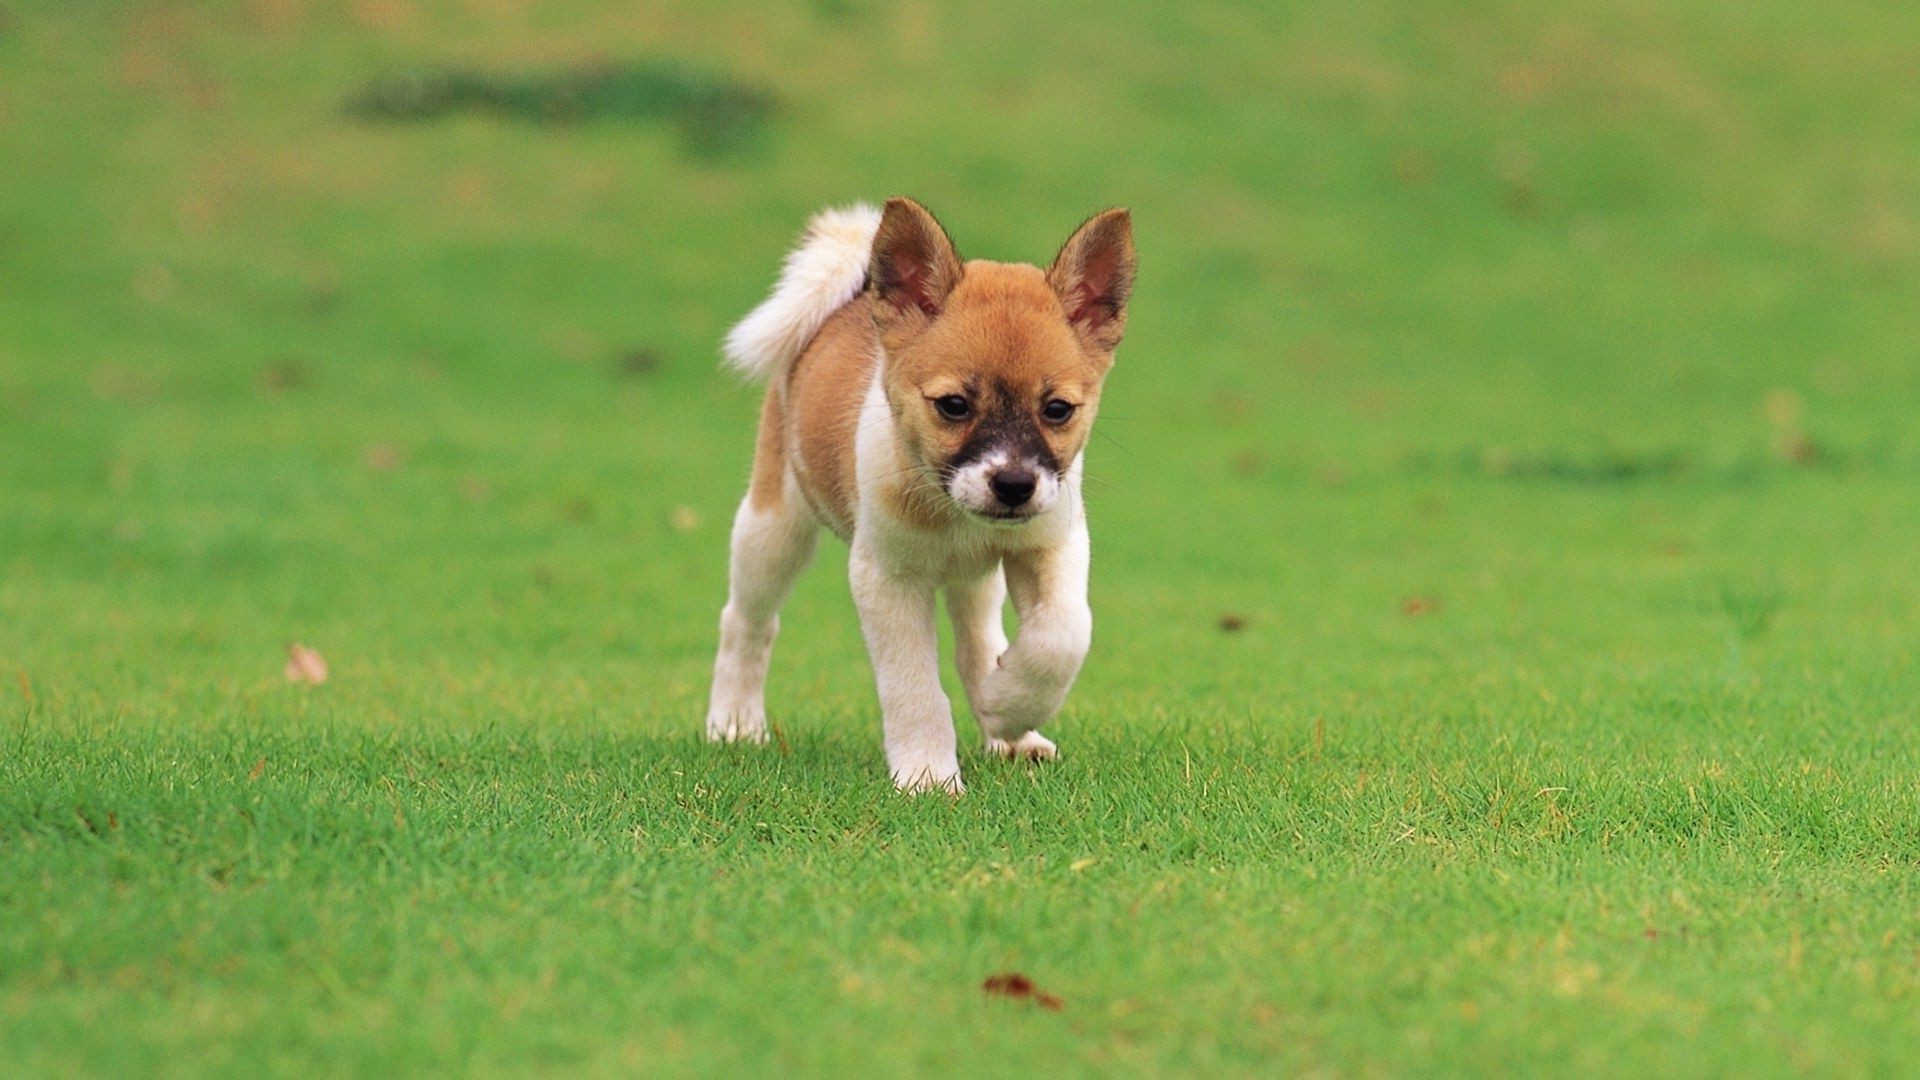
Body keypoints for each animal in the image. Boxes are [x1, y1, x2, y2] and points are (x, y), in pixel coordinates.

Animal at [706, 195, 1128, 791]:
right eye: (953, 405)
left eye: (1057, 409)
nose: (1014, 486)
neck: (952, 511)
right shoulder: (888, 579)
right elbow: (913, 686)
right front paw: (927, 773)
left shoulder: (1050, 546)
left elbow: (1063, 636)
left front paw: (1008, 706)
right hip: (773, 529)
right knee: (746, 621)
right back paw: (735, 722)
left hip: (975, 579)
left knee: (979, 644)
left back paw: (1008, 728)